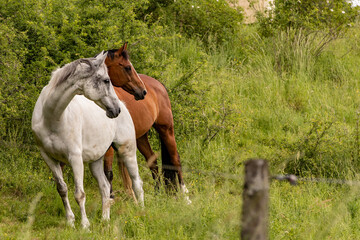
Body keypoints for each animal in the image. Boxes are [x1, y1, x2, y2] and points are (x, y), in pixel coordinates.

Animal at [103, 44, 190, 202]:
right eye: (128, 67)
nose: (142, 91)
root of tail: (158, 84)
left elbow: (108, 173)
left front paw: (111, 200)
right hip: (141, 137)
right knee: (153, 162)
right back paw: (157, 194)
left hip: (166, 129)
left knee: (175, 160)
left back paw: (186, 197)